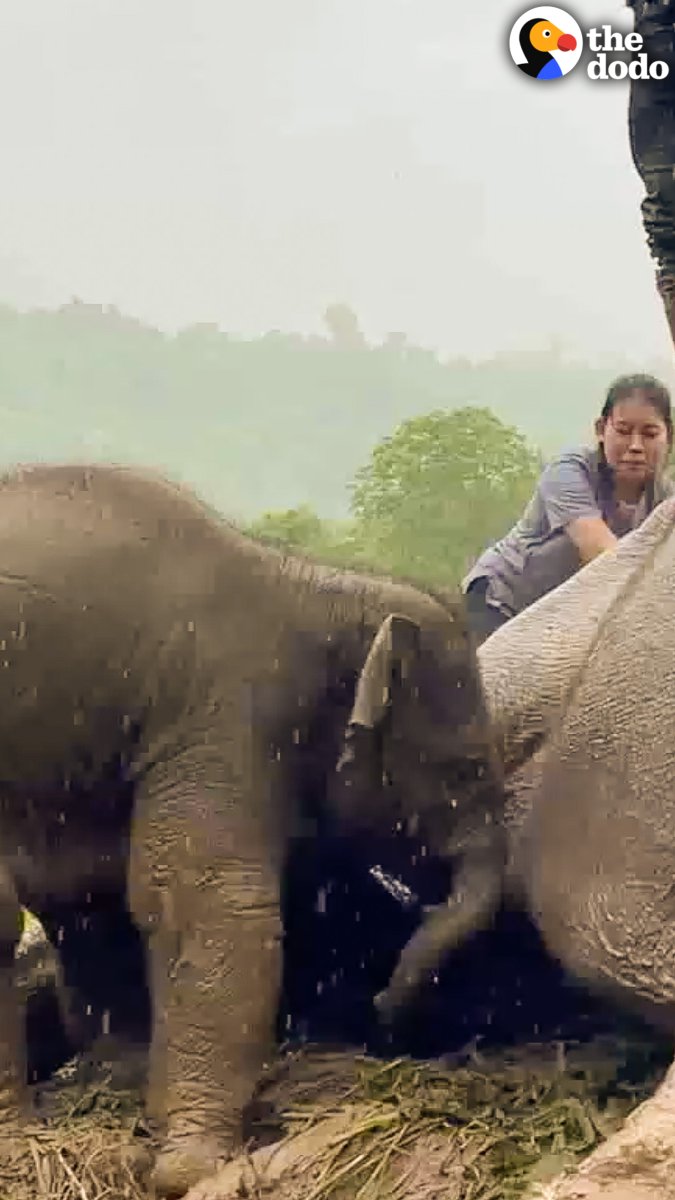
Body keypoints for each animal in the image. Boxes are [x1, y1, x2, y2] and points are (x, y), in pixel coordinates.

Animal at [0, 462, 503, 1198]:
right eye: (464, 771)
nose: (385, 1004)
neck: (313, 583)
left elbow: (106, 897)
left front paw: (124, 1094)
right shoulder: (224, 715)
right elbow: (208, 901)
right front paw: (194, 1169)